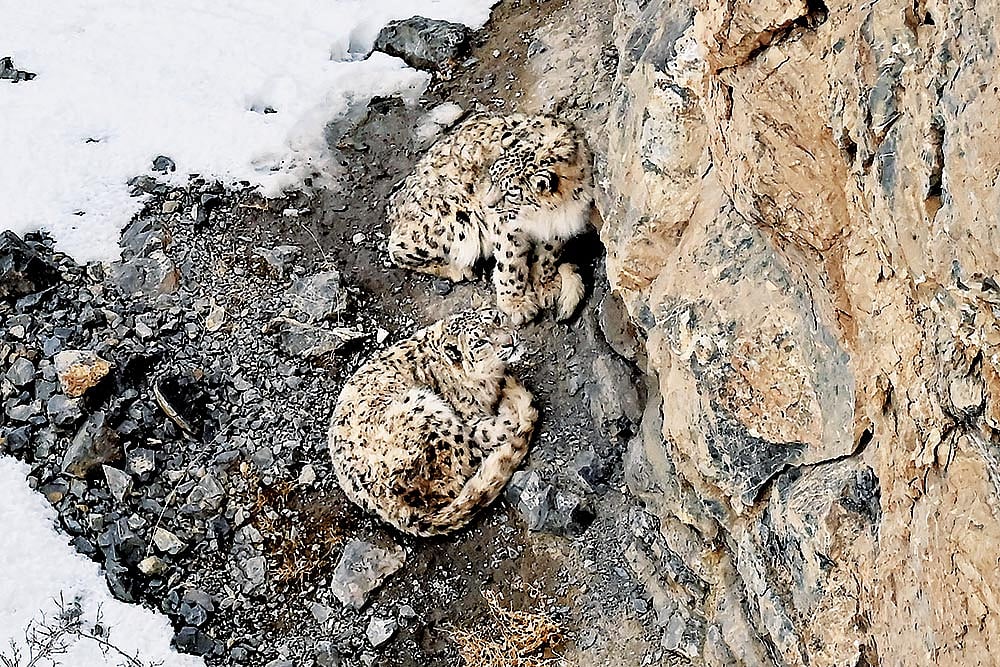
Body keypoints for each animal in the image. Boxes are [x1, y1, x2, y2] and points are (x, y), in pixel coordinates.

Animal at [328, 309, 538, 537]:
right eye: (480, 342)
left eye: (497, 319)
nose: (510, 341)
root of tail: (397, 511)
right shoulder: (472, 421)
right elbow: (501, 428)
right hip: (429, 411)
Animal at [387, 113, 593, 326]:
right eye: (492, 176)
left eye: (511, 192)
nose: (489, 205)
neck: (546, 215)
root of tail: (394, 207)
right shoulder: (507, 226)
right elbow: (510, 263)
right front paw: (516, 304)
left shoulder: (562, 225)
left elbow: (547, 255)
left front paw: (546, 284)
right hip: (453, 225)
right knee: (396, 250)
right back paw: (459, 270)